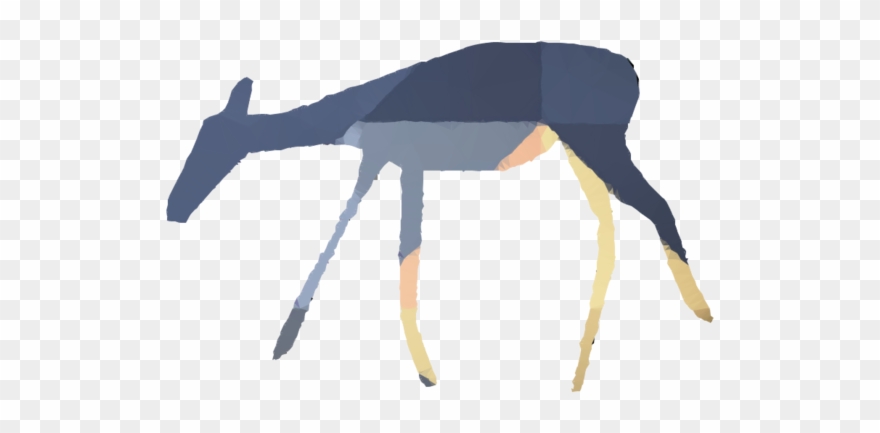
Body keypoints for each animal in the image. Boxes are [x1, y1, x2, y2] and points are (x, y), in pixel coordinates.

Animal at [166, 42, 714, 392]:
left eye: (216, 142)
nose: (174, 210)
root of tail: (628, 66)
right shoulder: (385, 162)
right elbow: (362, 230)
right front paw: (287, 338)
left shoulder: (399, 162)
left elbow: (399, 248)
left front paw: (425, 373)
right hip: (582, 153)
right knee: (609, 231)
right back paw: (578, 376)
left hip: (599, 147)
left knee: (656, 208)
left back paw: (701, 314)